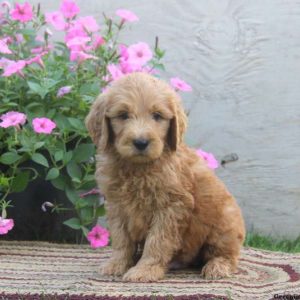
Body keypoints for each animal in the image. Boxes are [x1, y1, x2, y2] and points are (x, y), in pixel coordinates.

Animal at [85, 72, 245, 282]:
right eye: (123, 115)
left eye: (157, 116)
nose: (141, 142)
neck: (138, 168)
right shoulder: (117, 204)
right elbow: (121, 238)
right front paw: (117, 264)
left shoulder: (171, 206)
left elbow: (157, 241)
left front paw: (145, 270)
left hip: (224, 223)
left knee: (227, 254)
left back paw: (217, 266)